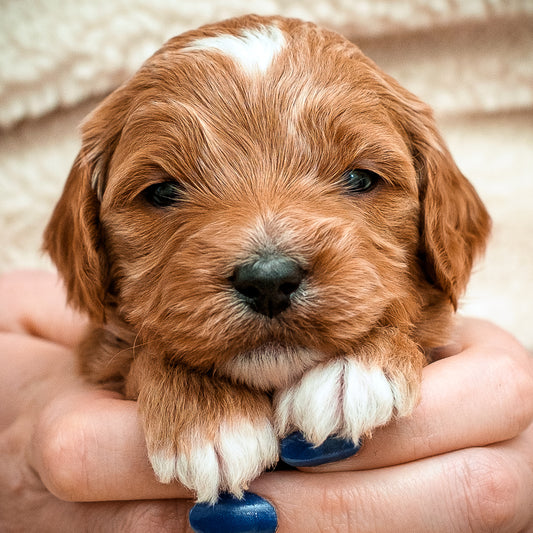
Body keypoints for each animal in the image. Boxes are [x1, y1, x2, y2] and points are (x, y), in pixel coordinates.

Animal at [43, 13, 488, 502]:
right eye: (161, 192)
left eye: (360, 178)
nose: (269, 280)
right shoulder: (98, 356)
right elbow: (140, 355)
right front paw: (209, 416)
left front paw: (353, 368)